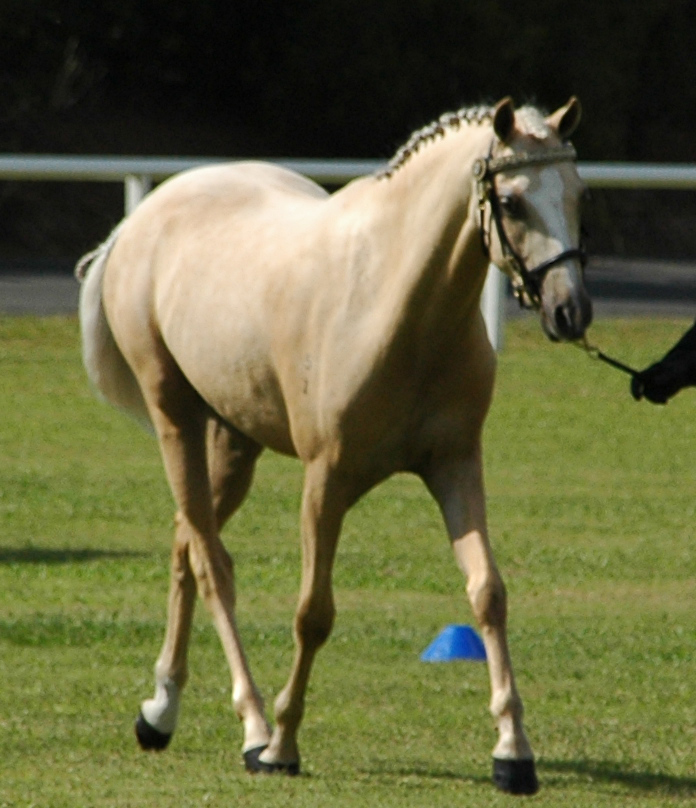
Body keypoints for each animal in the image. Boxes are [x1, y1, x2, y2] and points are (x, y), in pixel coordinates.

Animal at [77, 96, 592, 796]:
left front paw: (513, 752)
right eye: (511, 201)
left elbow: (488, 593)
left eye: (577, 191)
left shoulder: (456, 467)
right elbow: (313, 613)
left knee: (185, 544)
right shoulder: (326, 482)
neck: (396, 304)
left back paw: (160, 711)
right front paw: (282, 746)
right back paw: (252, 726)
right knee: (213, 565)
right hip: (174, 421)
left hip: (234, 442)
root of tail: (140, 221)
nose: (571, 311)